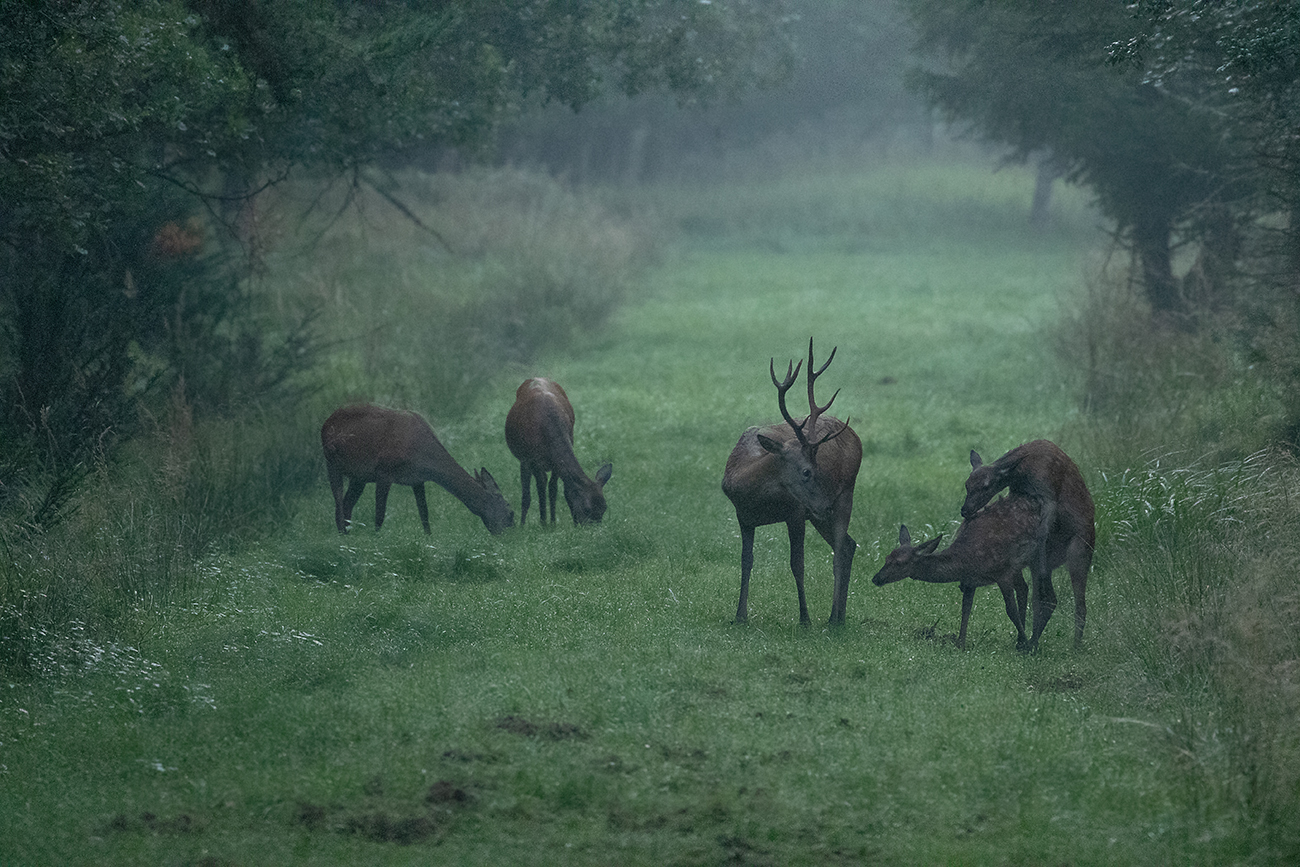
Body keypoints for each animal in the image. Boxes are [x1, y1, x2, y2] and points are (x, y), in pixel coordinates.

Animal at [319, 405, 512, 535]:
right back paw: (343, 535)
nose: (511, 530)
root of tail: (325, 424)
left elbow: (424, 513)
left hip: (359, 477)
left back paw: (347, 534)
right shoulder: (384, 471)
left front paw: (429, 539)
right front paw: (376, 539)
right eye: (510, 512)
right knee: (339, 503)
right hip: (331, 461)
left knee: (347, 504)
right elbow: (380, 514)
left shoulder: (417, 479)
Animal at [504, 376, 611, 525]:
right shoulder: (530, 458)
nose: (596, 529)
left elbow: (553, 489)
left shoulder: (556, 462)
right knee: (529, 491)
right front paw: (540, 523)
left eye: (604, 508)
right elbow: (534, 491)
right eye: (587, 509)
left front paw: (553, 523)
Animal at [722, 335, 863, 626]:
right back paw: (839, 616)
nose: (826, 504)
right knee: (848, 546)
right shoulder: (743, 517)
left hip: (846, 492)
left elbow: (797, 564)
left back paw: (833, 619)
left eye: (818, 467)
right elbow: (746, 561)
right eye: (807, 471)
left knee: (840, 552)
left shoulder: (796, 512)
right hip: (818, 515)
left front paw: (805, 619)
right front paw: (740, 616)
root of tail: (856, 436)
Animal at [868, 493, 1040, 649]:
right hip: (1017, 567)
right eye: (886, 557)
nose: (876, 578)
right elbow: (966, 609)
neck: (968, 561)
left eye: (899, 563)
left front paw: (1027, 645)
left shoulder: (1002, 572)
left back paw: (1023, 640)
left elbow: (1011, 610)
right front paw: (960, 643)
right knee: (1023, 588)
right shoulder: (970, 580)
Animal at [961, 441, 1092, 649]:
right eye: (967, 484)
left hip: (1080, 551)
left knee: (1078, 603)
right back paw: (1030, 641)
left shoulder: (1048, 492)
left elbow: (1043, 530)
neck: (1022, 474)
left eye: (986, 486)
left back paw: (1073, 645)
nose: (965, 510)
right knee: (1042, 598)